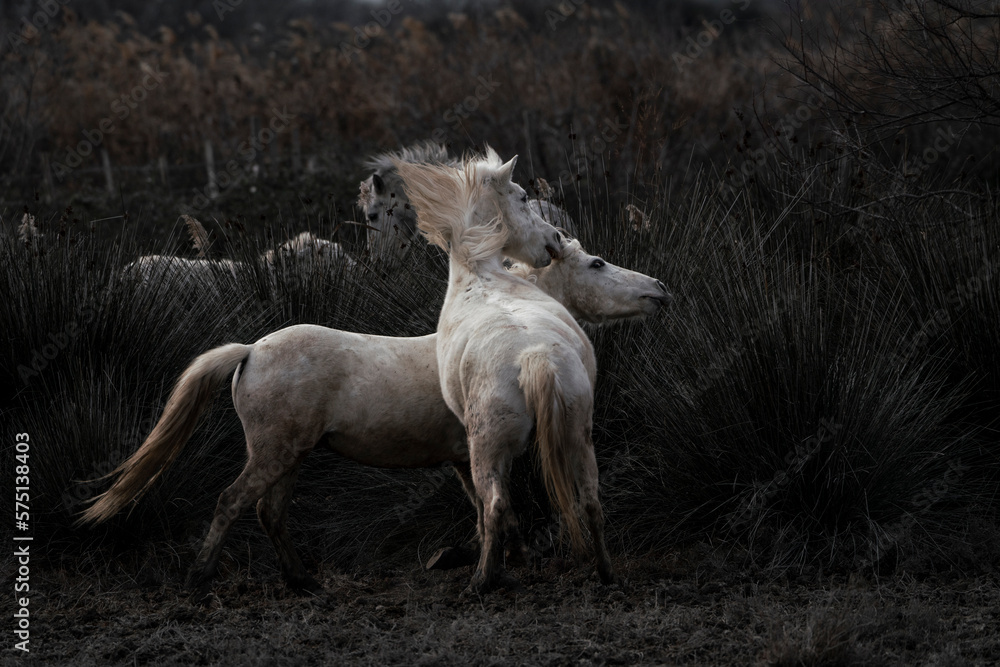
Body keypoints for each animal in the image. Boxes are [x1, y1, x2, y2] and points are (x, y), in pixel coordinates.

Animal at [80, 236, 668, 595]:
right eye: (596, 264)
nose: (658, 290)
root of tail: (250, 351)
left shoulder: (463, 458)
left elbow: (488, 510)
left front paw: (498, 560)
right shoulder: (472, 454)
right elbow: (491, 508)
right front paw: (491, 567)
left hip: (288, 455)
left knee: (270, 511)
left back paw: (303, 581)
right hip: (274, 453)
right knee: (233, 502)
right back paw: (202, 578)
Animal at [395, 149, 667, 592]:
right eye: (597, 263)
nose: (659, 288)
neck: (481, 273)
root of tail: (535, 355)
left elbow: (488, 509)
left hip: (487, 450)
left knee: (495, 505)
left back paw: (484, 578)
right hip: (577, 435)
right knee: (590, 500)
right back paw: (604, 572)